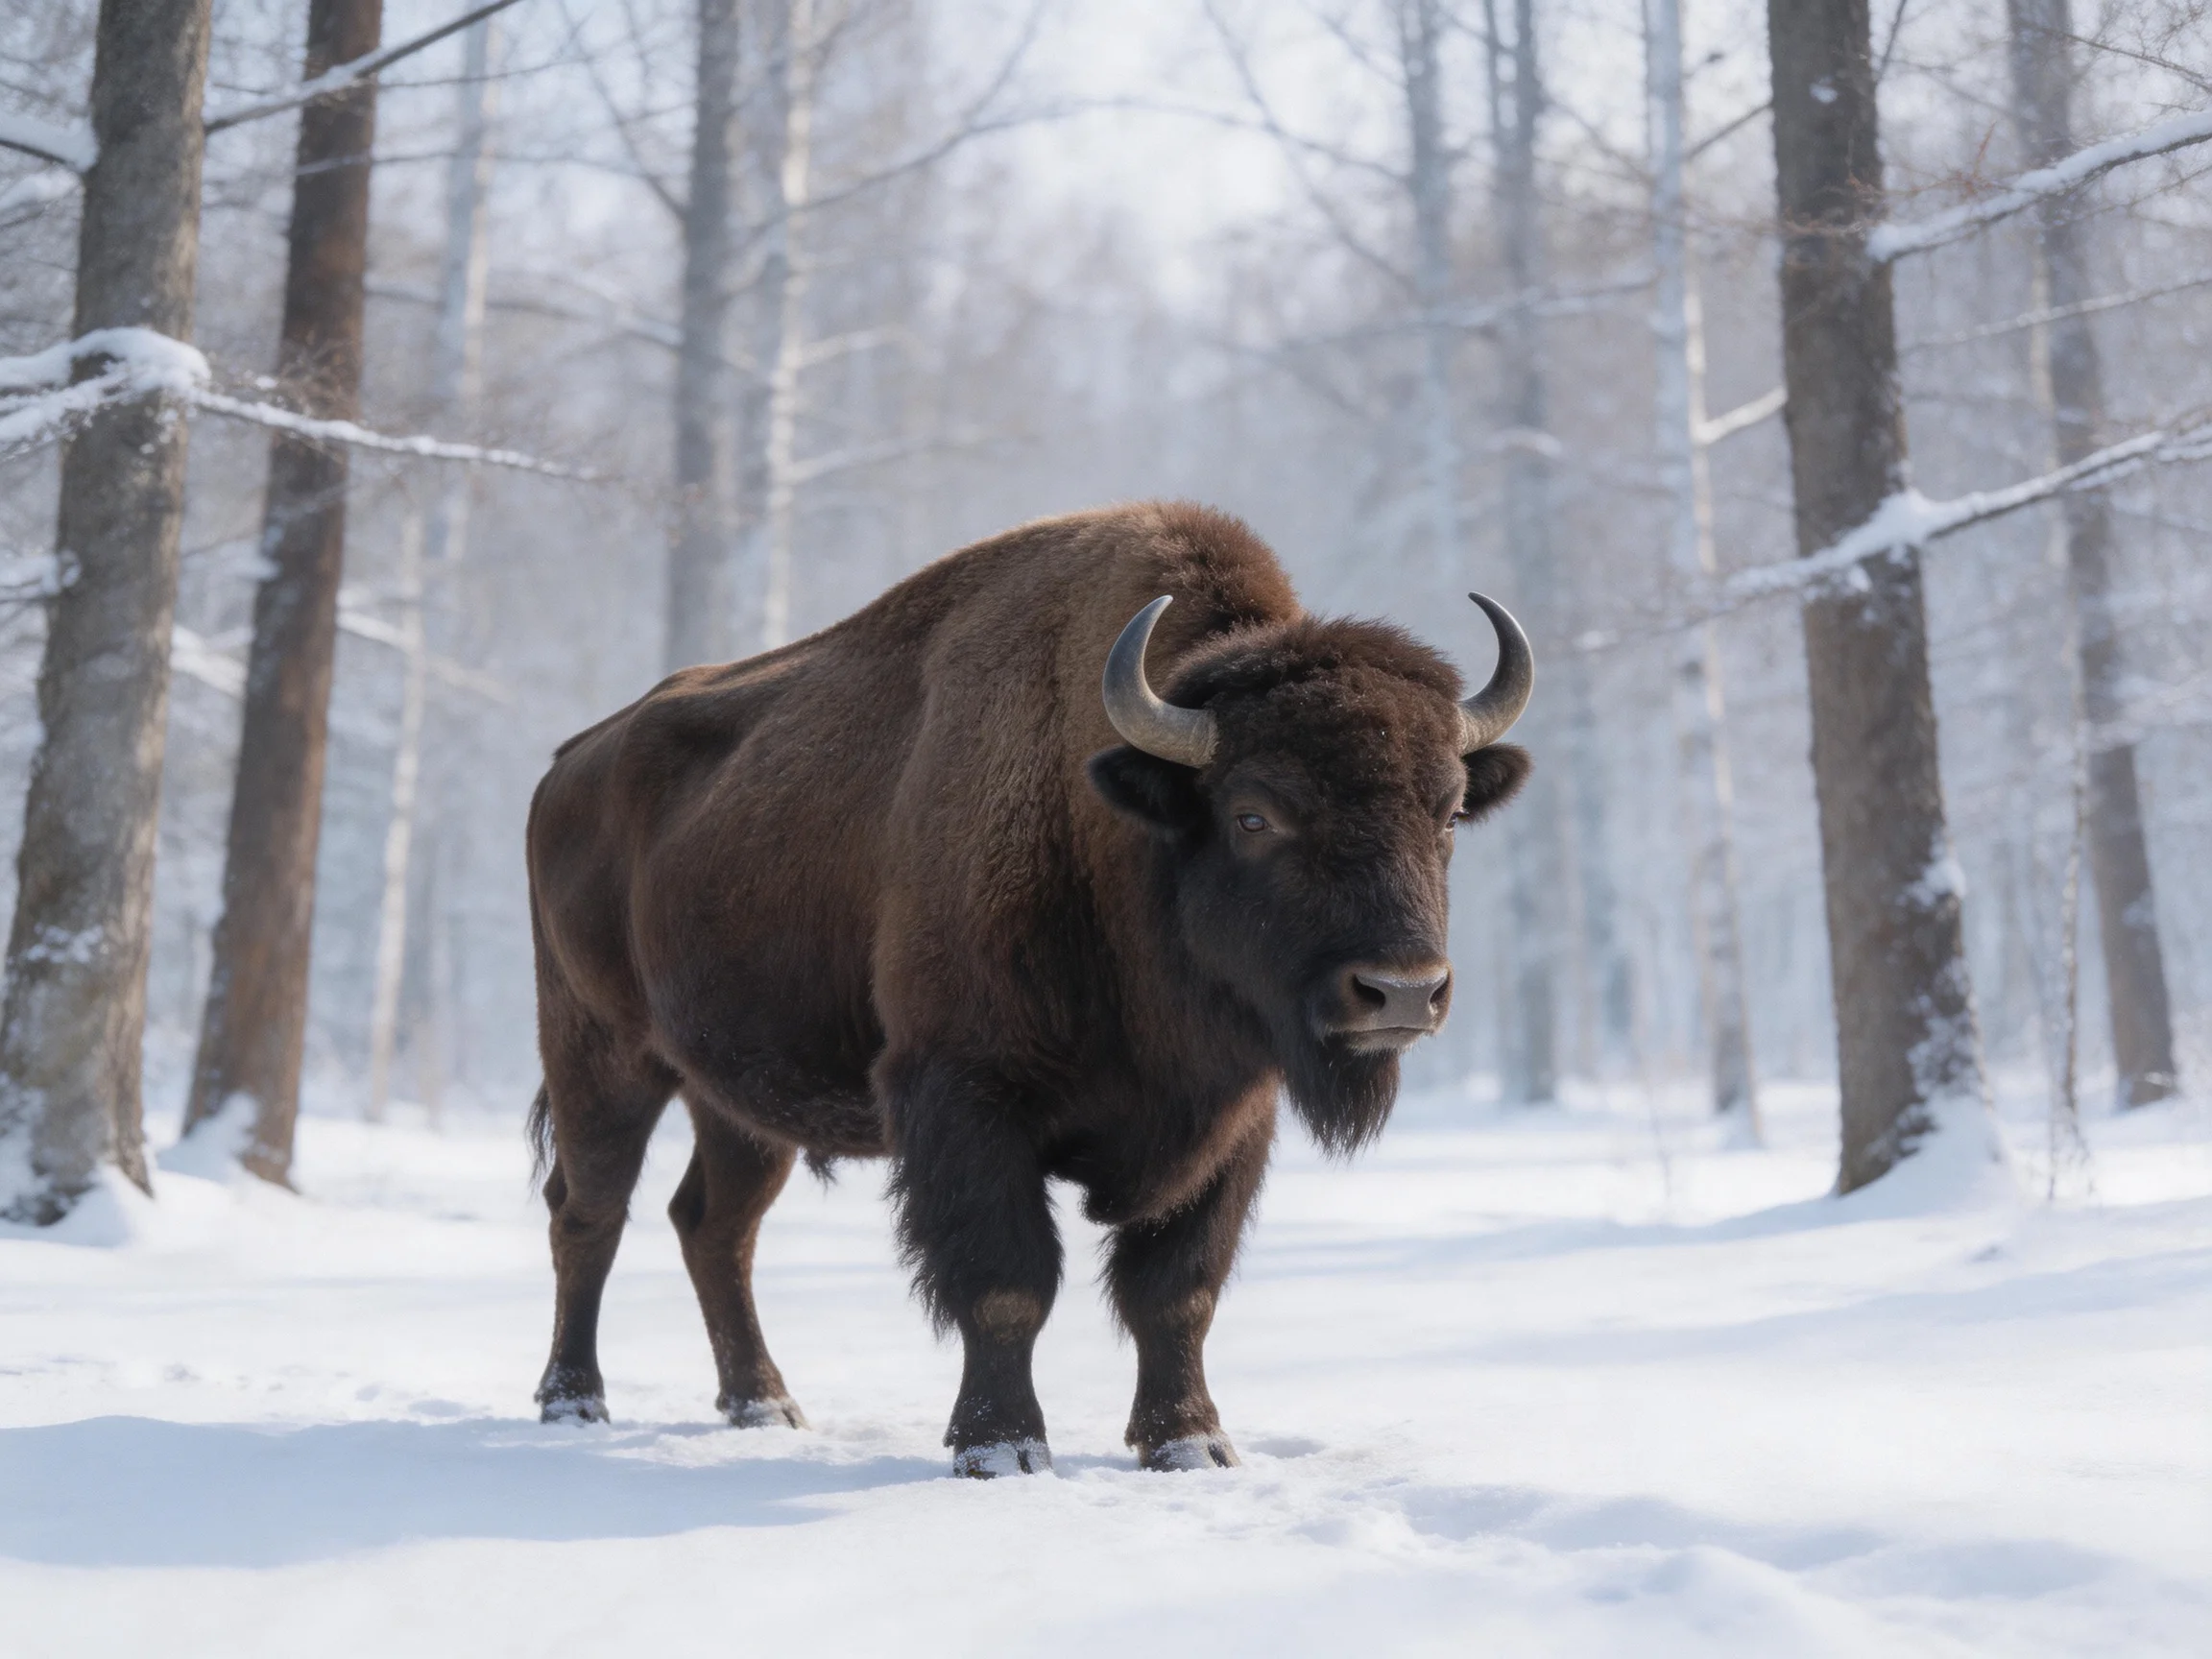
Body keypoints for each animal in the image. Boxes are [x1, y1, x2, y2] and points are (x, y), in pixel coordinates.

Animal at [525, 502, 1532, 1475]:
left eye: (1447, 813)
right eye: (1254, 815)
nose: (1401, 992)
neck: (1112, 829)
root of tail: (568, 763)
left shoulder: (1230, 1124)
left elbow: (1178, 1293)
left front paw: (1191, 1445)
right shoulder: (970, 1098)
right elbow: (1007, 1286)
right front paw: (1000, 1450)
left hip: (736, 1100)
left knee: (714, 1226)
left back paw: (763, 1405)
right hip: (602, 1054)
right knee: (589, 1212)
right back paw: (575, 1402)